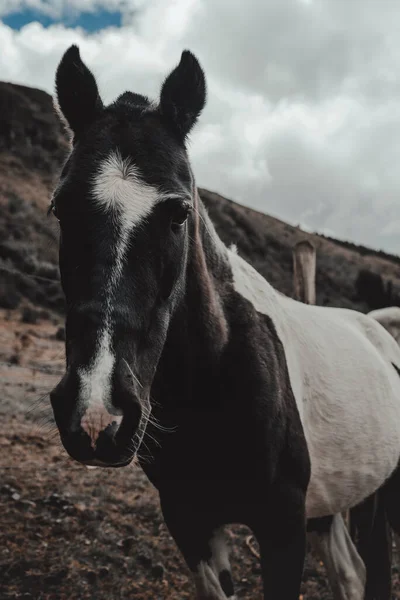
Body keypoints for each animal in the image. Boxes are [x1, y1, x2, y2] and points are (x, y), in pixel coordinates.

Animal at [50, 47, 400, 600]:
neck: (214, 377)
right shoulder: (189, 522)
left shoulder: (282, 528)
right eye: (61, 209)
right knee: (351, 574)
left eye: (178, 213)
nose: (97, 414)